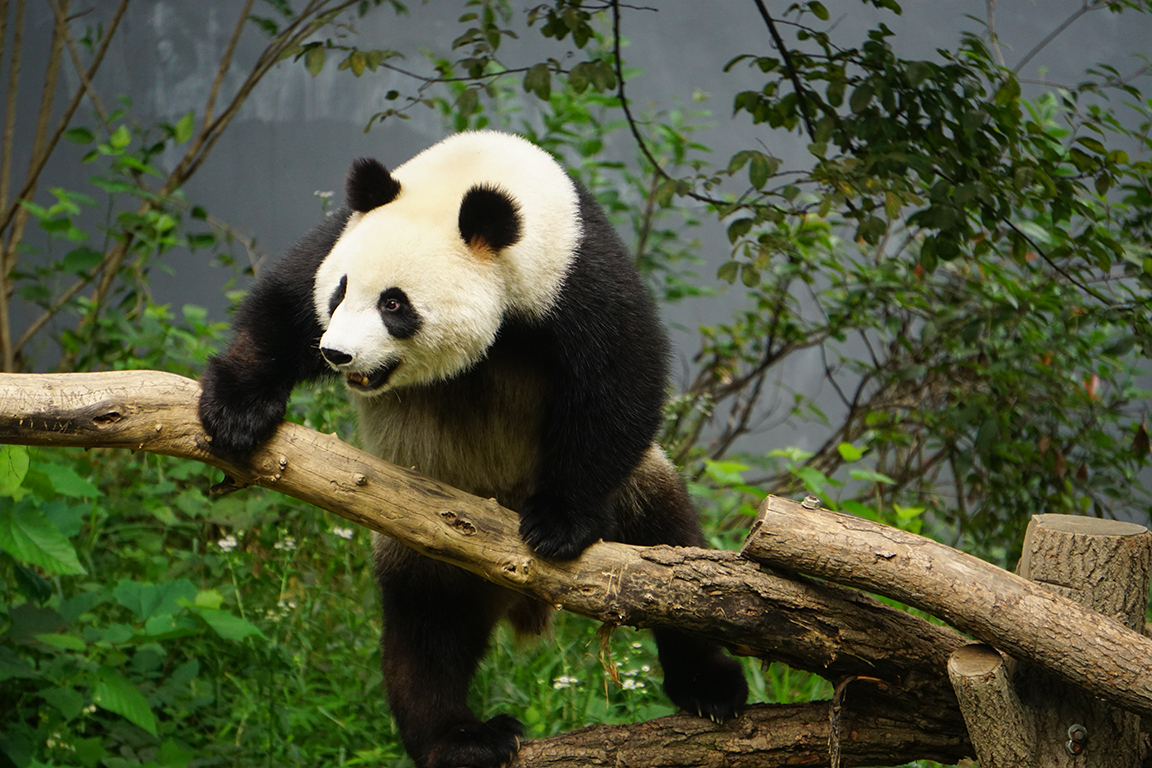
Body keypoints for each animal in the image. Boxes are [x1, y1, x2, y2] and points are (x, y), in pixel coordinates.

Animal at [198, 130, 748, 768]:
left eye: (394, 305)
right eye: (340, 291)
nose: (336, 353)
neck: (480, 175)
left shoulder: (574, 274)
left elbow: (620, 377)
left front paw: (557, 524)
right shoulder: (339, 233)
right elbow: (282, 308)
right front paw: (236, 413)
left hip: (635, 497)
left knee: (670, 555)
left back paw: (710, 686)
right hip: (421, 529)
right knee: (427, 627)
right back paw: (463, 739)